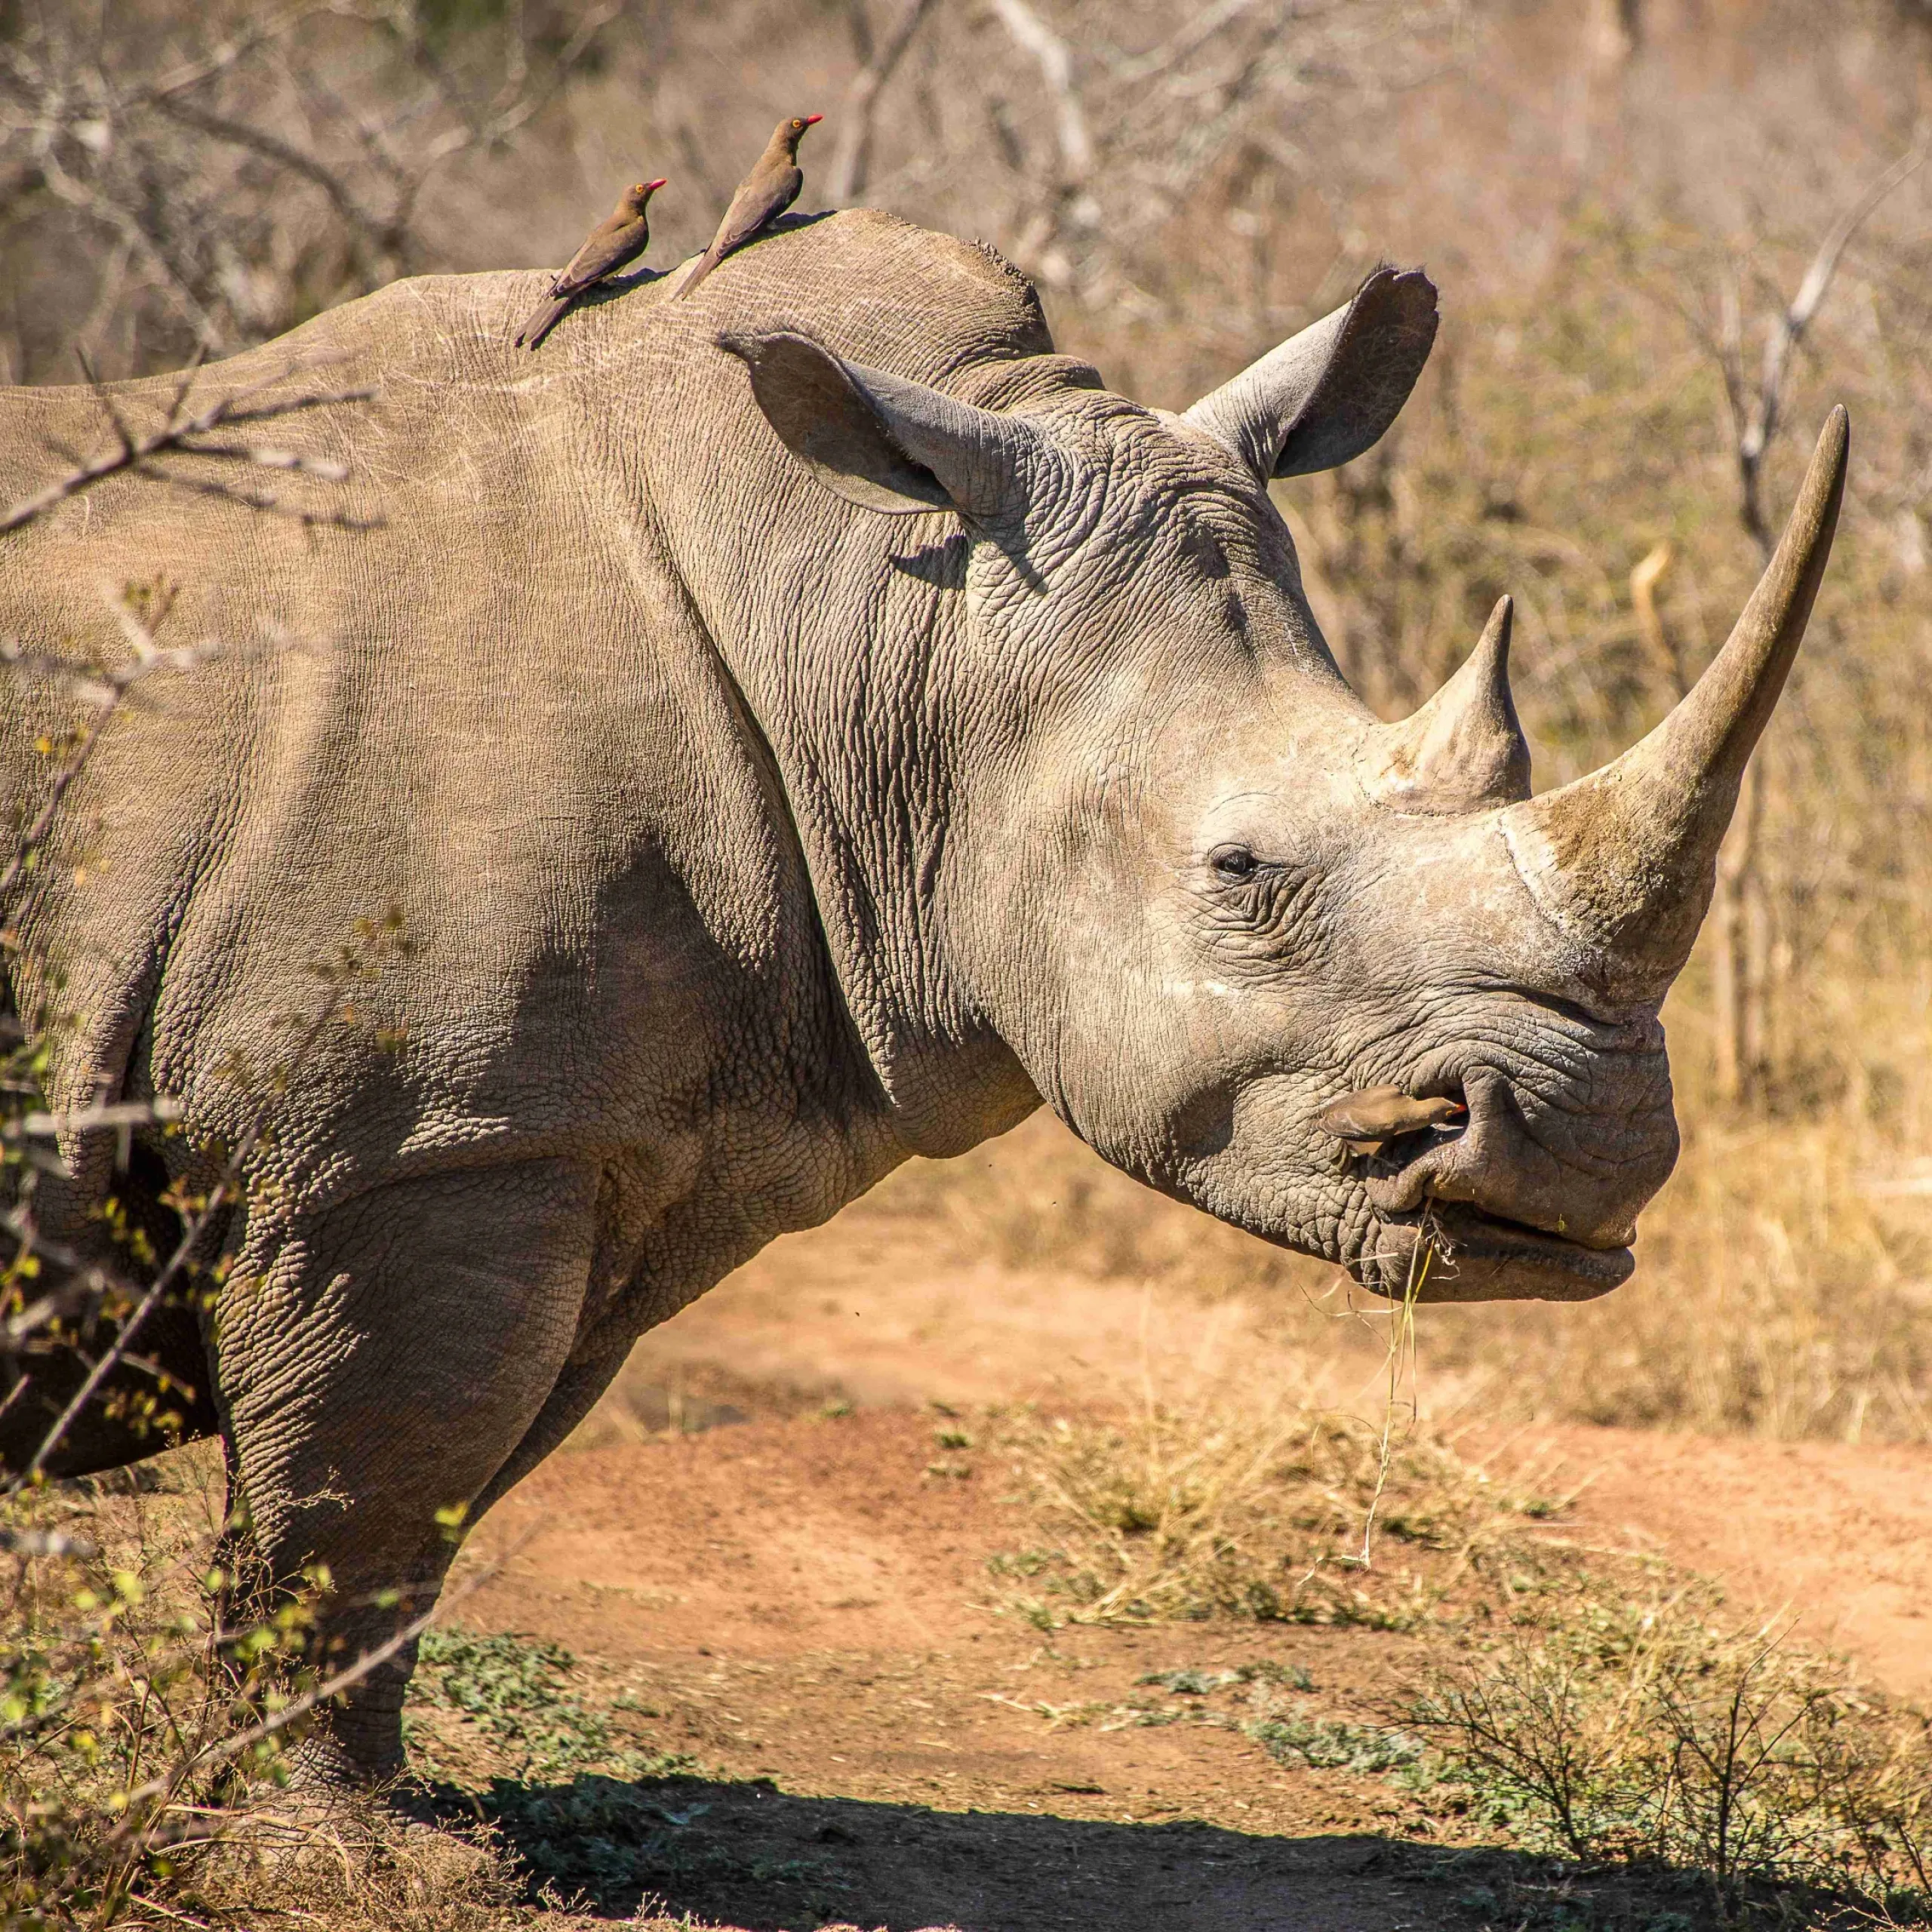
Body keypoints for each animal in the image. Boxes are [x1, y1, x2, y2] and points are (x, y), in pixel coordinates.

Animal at [0, 209, 1845, 1791]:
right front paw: (333, 1840)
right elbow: (361, 1497)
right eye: (1239, 871)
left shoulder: (572, 1133)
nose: (1582, 1154)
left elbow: (427, 1494)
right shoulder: (416, 1130)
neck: (872, 624)